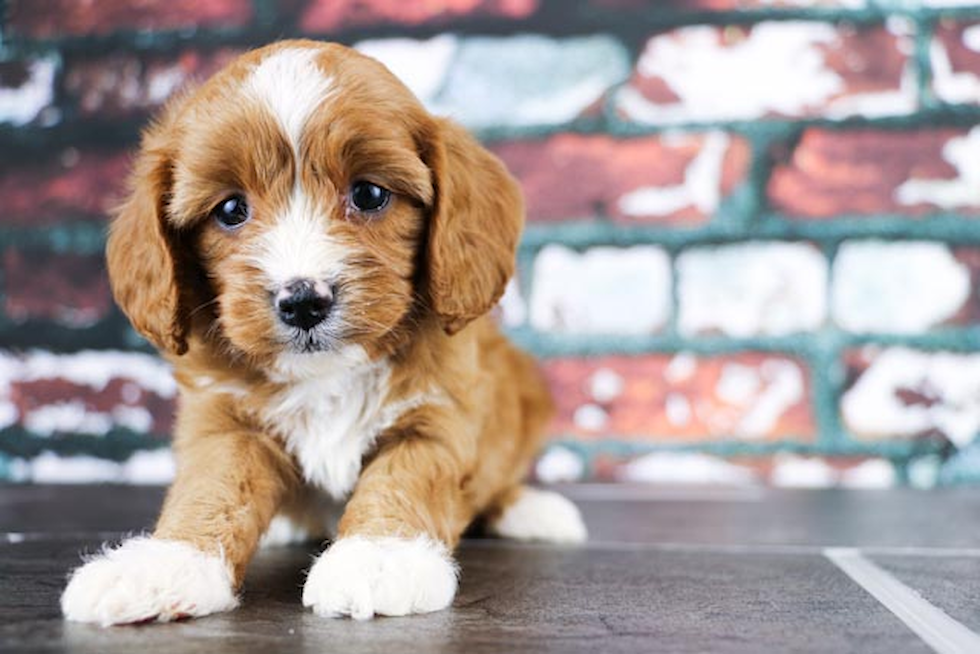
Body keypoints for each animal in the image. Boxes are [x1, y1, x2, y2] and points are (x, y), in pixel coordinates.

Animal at [61, 42, 584, 632]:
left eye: (370, 194)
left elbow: (407, 476)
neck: (327, 373)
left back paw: (532, 508)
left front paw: (380, 558)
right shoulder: (225, 421)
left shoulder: (442, 414)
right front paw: (164, 564)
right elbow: (211, 486)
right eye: (230, 209)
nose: (303, 301)